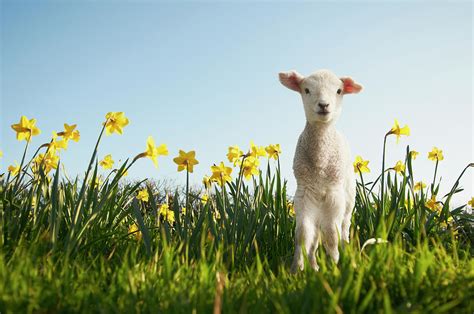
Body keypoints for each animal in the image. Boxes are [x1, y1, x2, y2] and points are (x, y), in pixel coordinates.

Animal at [278, 69, 362, 272]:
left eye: (339, 90)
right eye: (306, 90)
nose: (324, 105)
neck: (320, 166)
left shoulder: (334, 195)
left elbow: (331, 234)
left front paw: (334, 264)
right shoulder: (304, 194)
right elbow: (303, 234)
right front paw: (297, 269)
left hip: (348, 201)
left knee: (343, 229)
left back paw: (344, 253)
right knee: (315, 235)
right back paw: (314, 265)